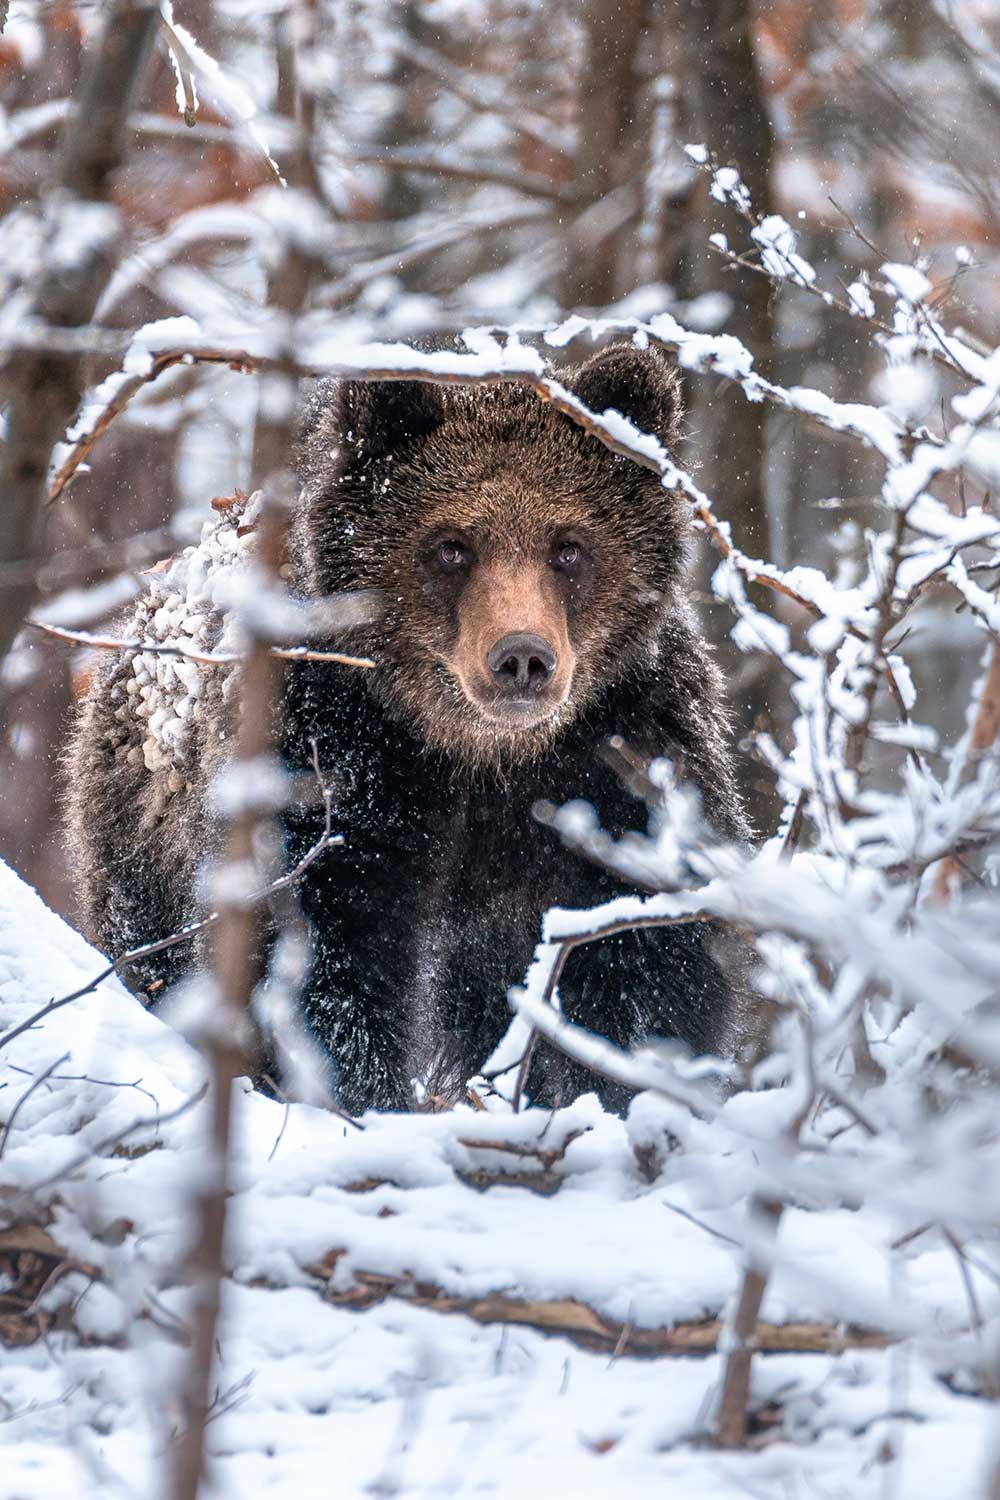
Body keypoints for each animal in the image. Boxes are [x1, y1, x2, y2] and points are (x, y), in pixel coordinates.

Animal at [64, 340, 749, 1116]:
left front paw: (622, 1092)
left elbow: (648, 957)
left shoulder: (627, 752)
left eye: (569, 546)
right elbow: (322, 944)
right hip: (138, 848)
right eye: (452, 545)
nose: (522, 658)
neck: (483, 755)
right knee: (156, 955)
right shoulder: (334, 752)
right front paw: (358, 1094)